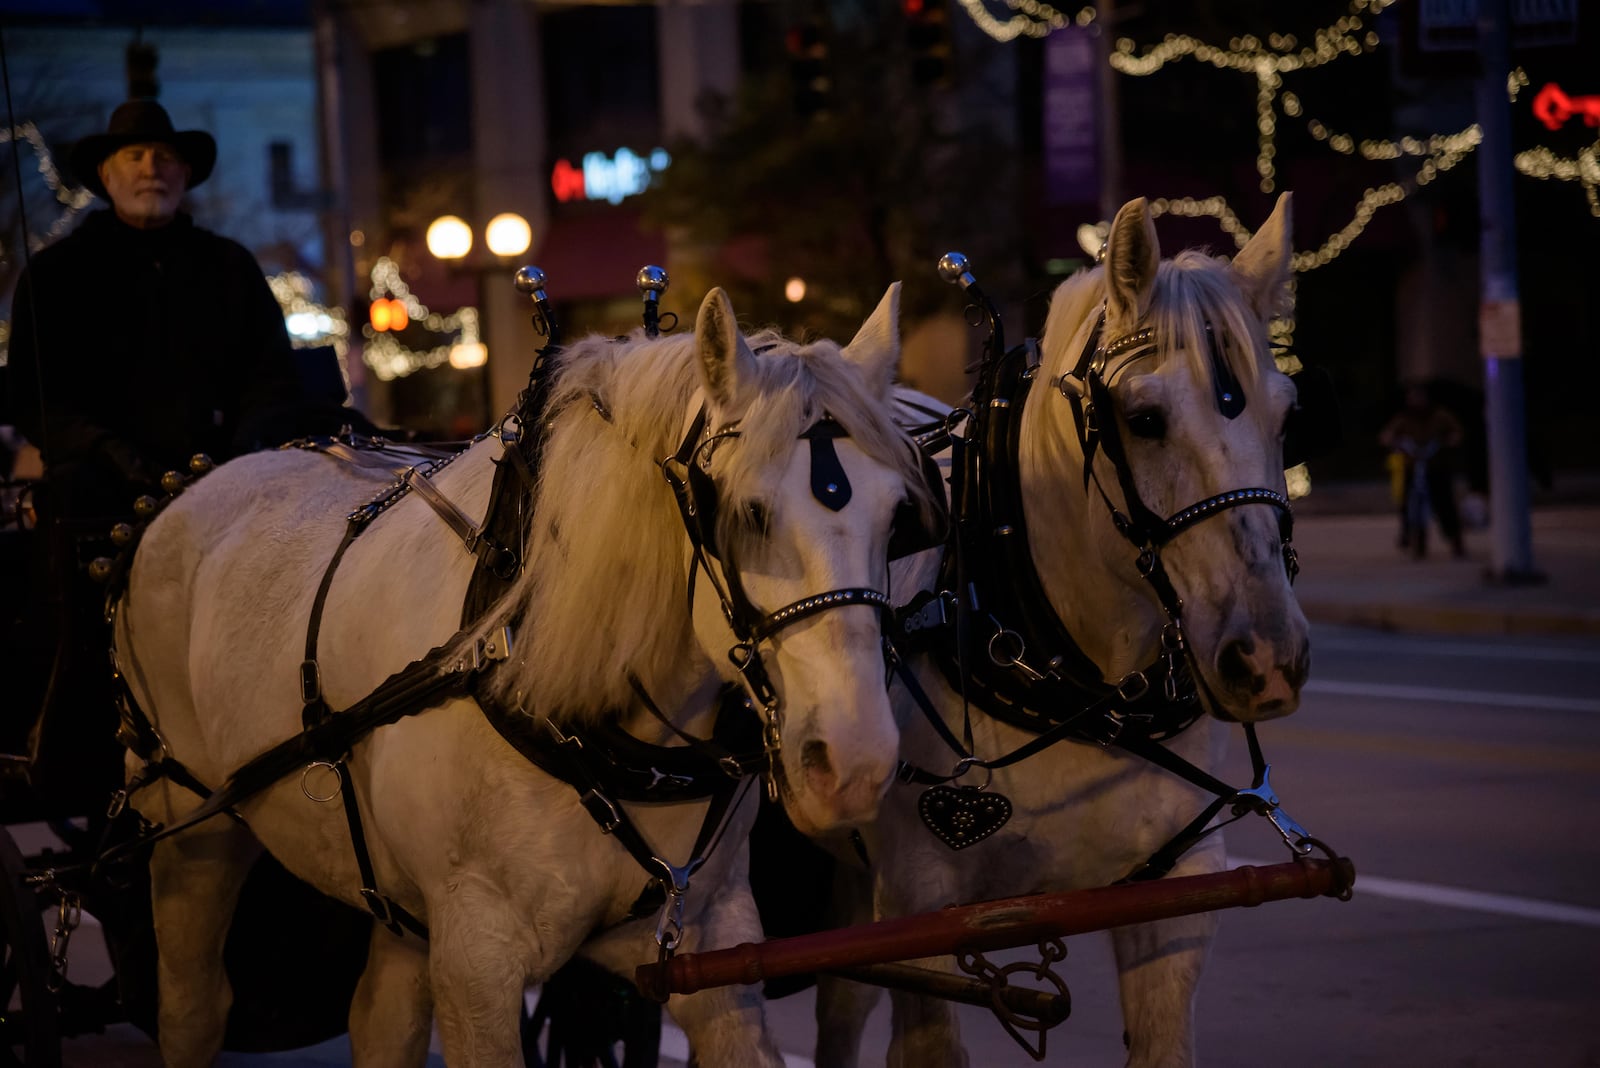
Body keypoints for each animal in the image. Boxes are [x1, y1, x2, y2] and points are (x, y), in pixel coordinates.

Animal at [116, 286, 934, 1068]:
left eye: (900, 517)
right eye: (747, 512)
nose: (855, 765)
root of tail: (189, 487)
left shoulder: (713, 937)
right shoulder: (475, 963)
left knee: (381, 1020)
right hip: (191, 834)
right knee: (193, 1009)